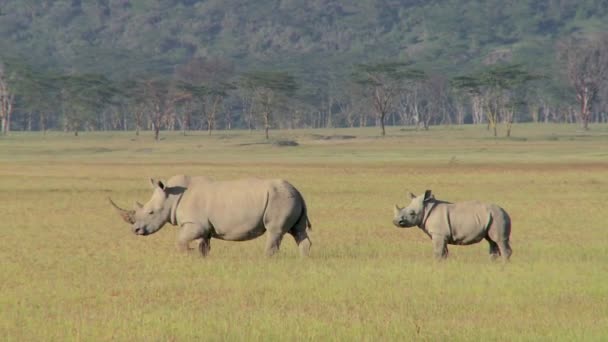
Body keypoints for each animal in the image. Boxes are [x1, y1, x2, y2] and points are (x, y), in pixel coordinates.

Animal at [107, 176, 314, 256]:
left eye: (151, 212)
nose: (135, 230)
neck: (171, 198)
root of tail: (298, 192)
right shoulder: (204, 227)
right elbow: (203, 245)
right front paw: (199, 256)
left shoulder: (195, 224)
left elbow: (181, 239)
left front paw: (187, 254)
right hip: (289, 198)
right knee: (298, 232)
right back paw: (304, 259)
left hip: (280, 199)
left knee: (274, 232)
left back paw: (266, 260)